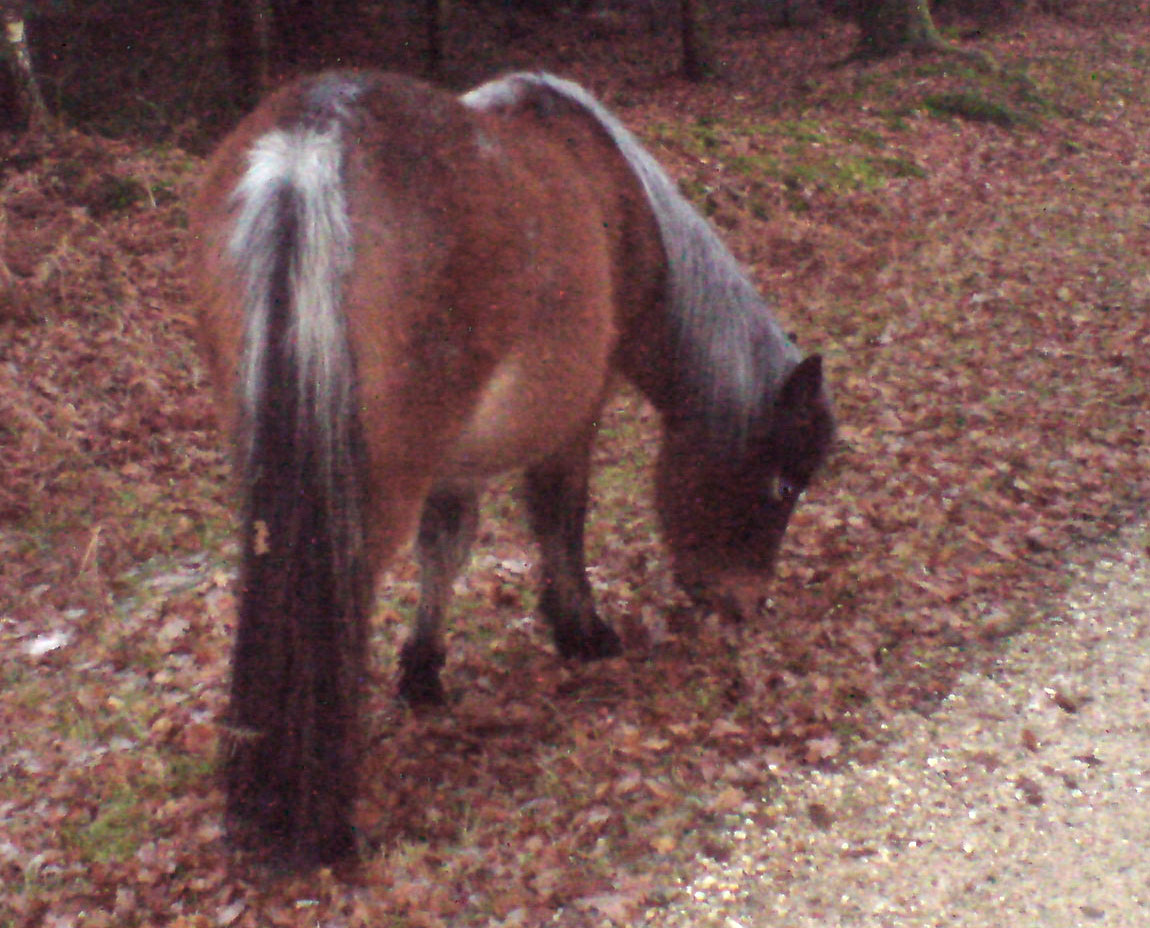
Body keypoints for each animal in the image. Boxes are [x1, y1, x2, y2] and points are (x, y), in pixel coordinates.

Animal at [190, 68, 837, 869]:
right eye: (782, 484)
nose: (746, 605)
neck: (621, 202)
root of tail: (309, 147)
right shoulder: (578, 407)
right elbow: (561, 516)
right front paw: (581, 630)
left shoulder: (456, 456)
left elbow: (447, 547)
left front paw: (424, 671)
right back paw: (320, 819)